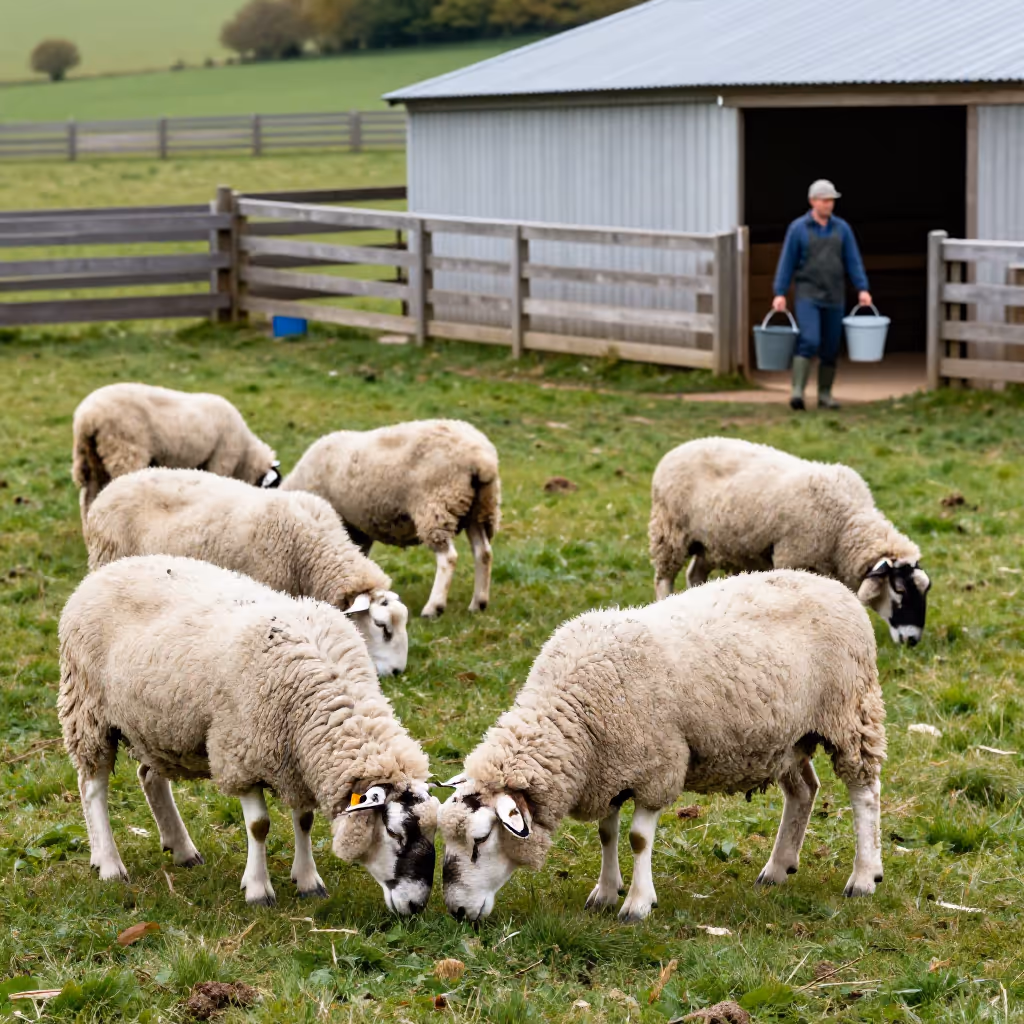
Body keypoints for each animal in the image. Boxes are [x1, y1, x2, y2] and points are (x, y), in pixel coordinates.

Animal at [58, 555, 438, 913]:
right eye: (394, 834)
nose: (416, 906)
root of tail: (109, 569)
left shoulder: (296, 758)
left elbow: (304, 820)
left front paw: (308, 881)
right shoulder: (241, 755)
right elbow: (259, 826)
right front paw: (258, 890)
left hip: (156, 724)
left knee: (149, 775)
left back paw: (182, 849)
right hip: (88, 708)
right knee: (92, 787)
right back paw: (109, 864)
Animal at [72, 382, 280, 526]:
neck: (246, 454)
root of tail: (87, 418)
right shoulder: (221, 461)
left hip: (91, 458)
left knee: (87, 498)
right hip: (124, 450)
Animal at [281, 420, 500, 619]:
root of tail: (481, 459)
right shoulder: (358, 530)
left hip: (436, 504)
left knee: (448, 557)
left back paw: (433, 607)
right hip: (480, 509)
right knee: (483, 552)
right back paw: (478, 603)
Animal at [438, 570, 886, 923]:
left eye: (480, 840)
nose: (457, 912)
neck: (575, 713)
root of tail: (832, 584)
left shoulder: (657, 766)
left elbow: (638, 839)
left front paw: (637, 903)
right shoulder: (612, 769)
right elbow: (606, 833)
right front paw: (605, 892)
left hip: (851, 713)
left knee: (864, 792)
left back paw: (865, 875)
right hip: (788, 738)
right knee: (804, 790)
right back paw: (778, 867)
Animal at [649, 437, 931, 646]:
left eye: (925, 589)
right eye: (899, 590)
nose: (912, 640)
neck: (845, 524)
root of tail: (679, 448)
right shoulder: (793, 556)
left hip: (711, 543)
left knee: (695, 574)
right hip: (670, 532)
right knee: (664, 579)